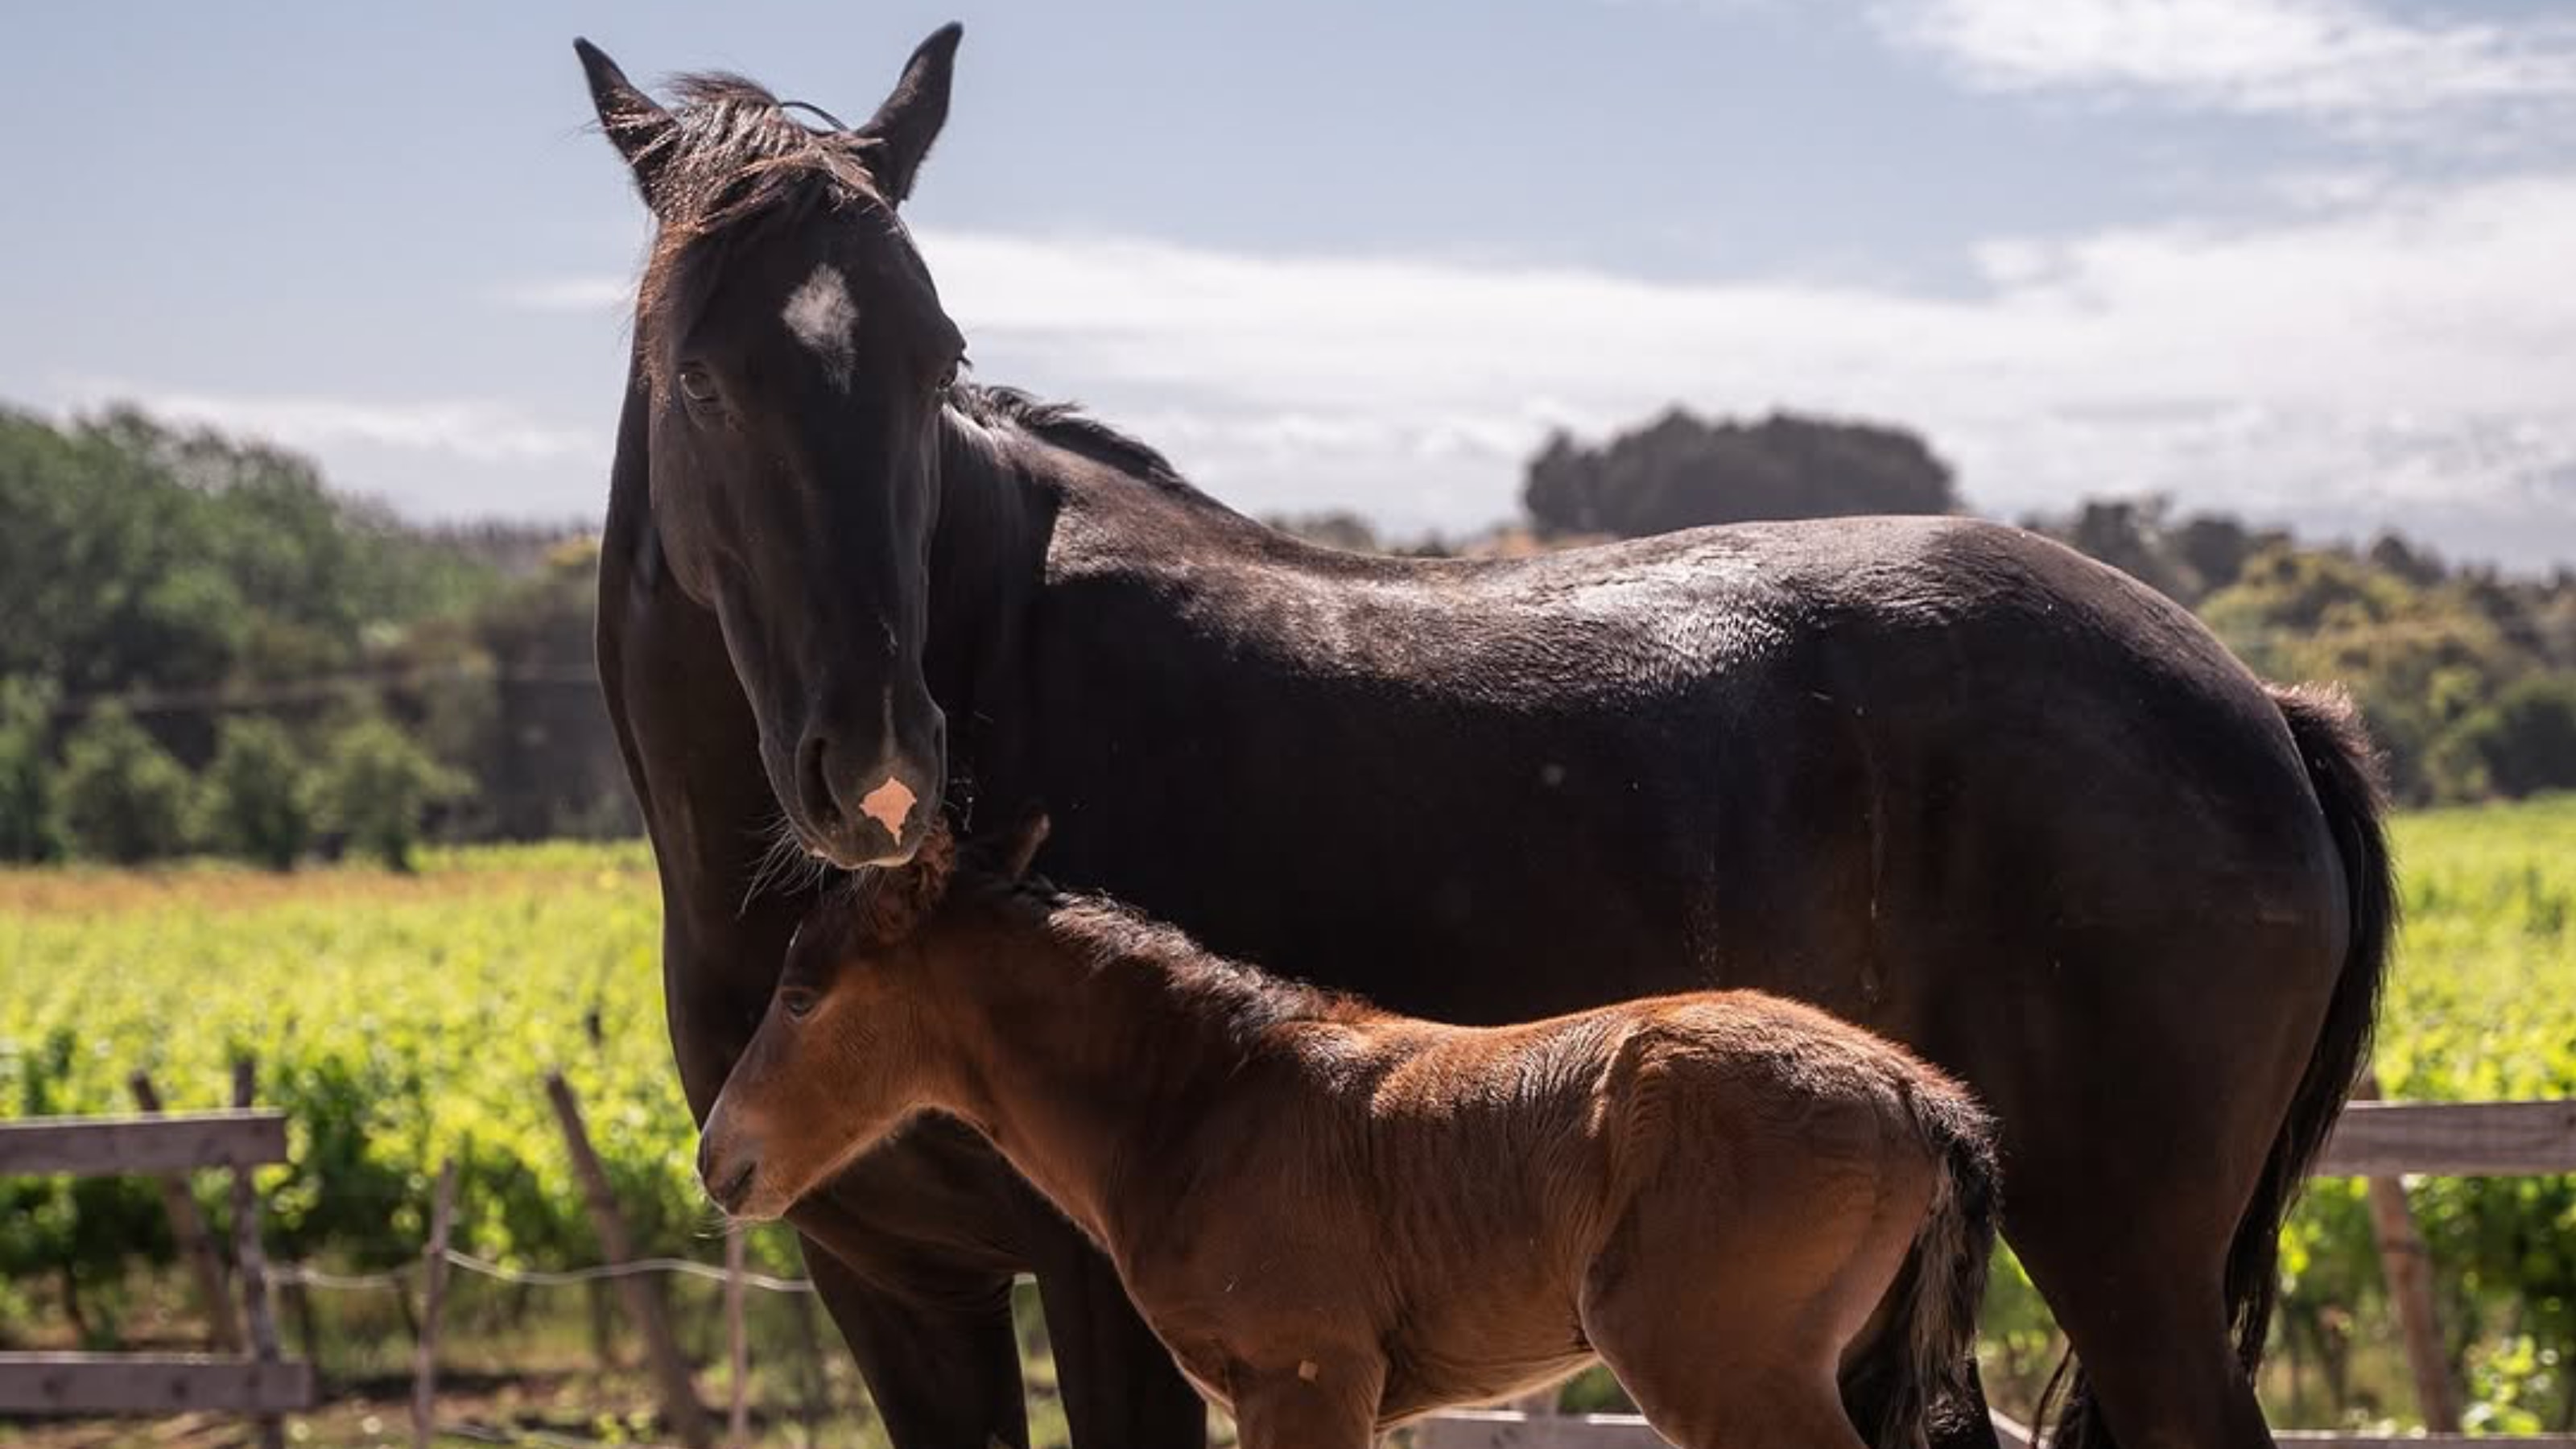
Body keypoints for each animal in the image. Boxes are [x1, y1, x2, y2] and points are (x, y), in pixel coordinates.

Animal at [699, 815, 2003, 1449]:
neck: (1205, 1101)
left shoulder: (1303, 1380)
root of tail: (1915, 1094)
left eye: (801, 996)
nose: (720, 1159)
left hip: (1719, 1367)